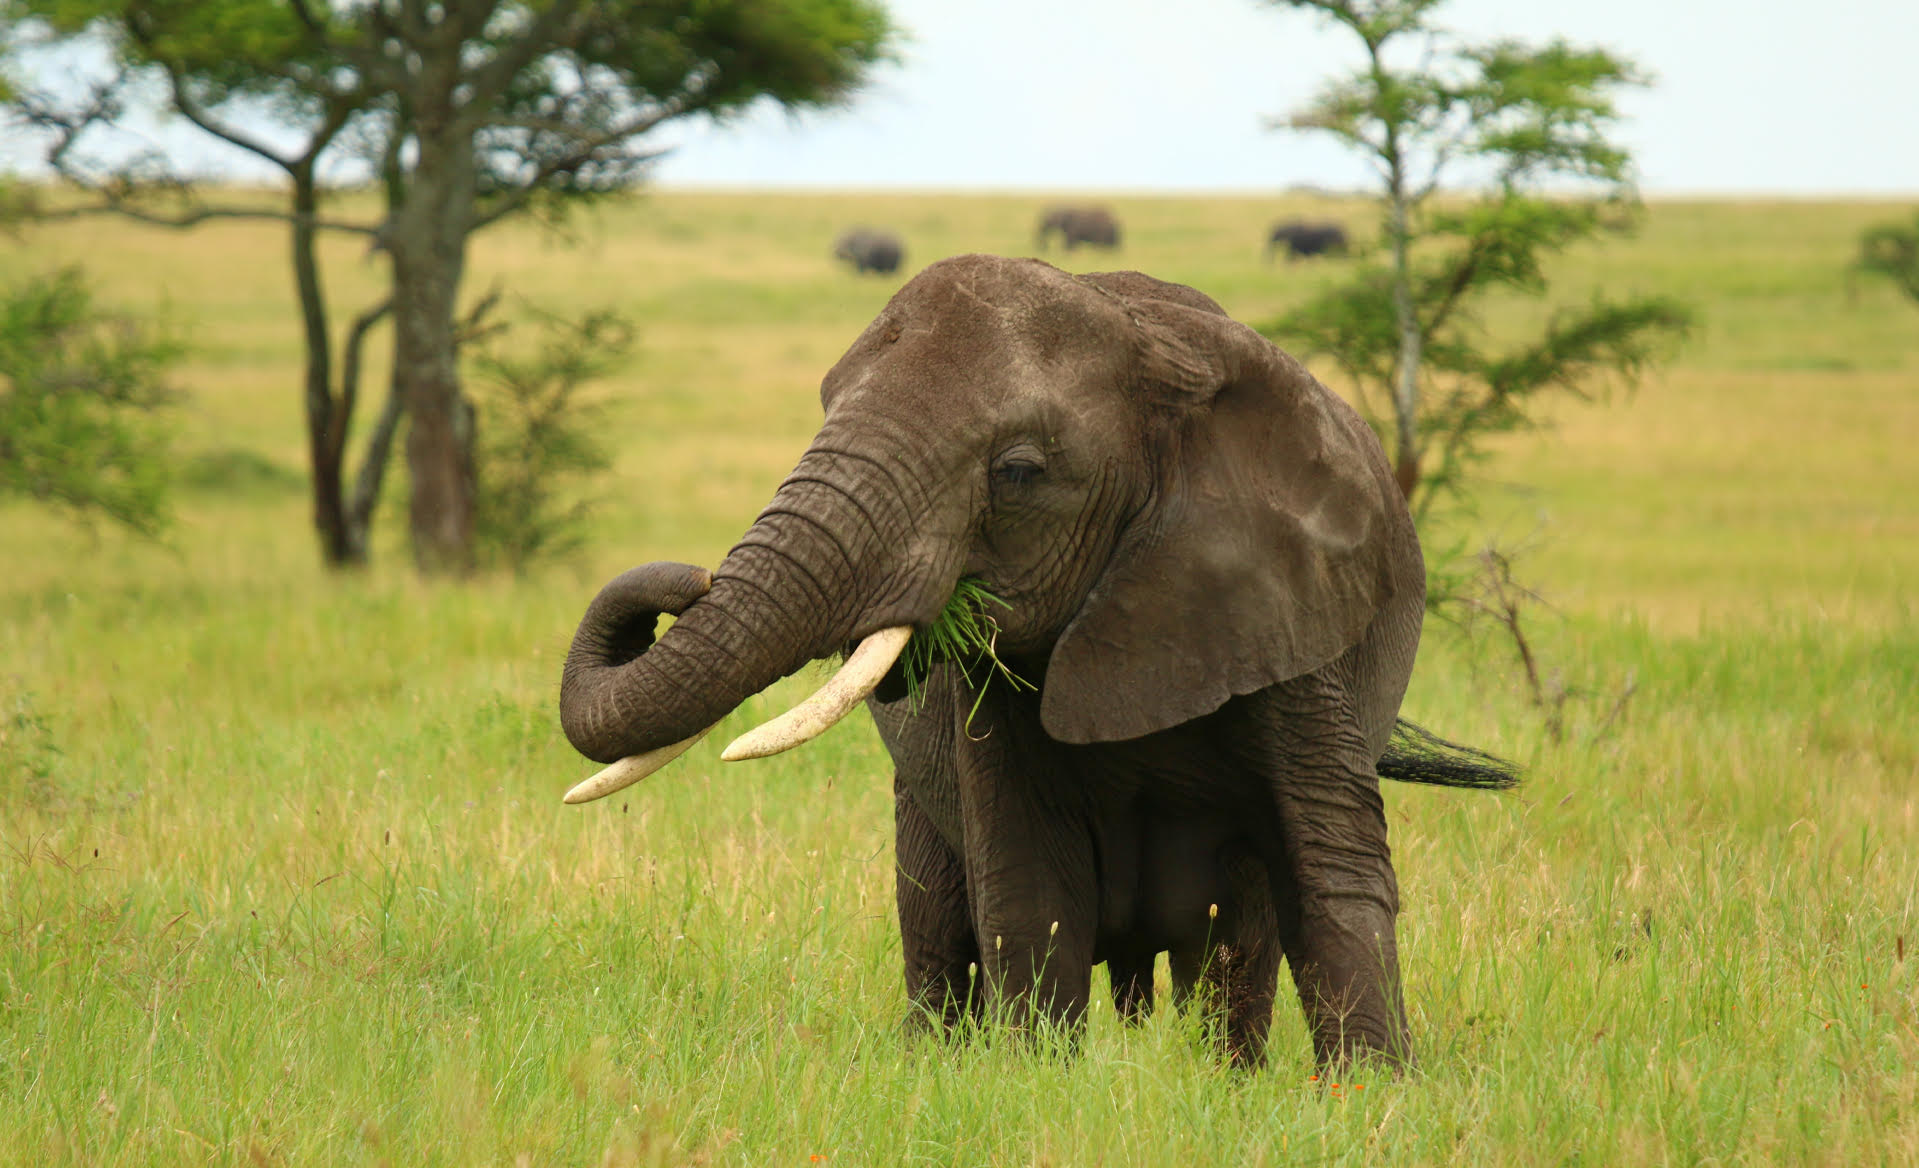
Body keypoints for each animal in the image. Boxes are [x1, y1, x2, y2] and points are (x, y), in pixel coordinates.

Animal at [559, 255, 1517, 1070]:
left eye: (1017, 472)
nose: (685, 581)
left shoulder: (1291, 615)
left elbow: (1329, 864)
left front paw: (1370, 1093)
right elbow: (1027, 886)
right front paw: (1030, 1079)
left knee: (1233, 939)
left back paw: (1224, 1074)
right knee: (934, 916)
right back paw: (933, 1064)